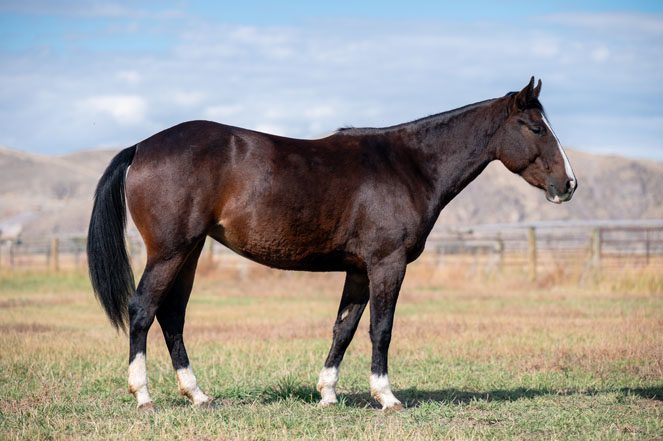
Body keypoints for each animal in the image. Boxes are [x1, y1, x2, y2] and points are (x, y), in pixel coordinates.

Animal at [87, 77, 576, 411]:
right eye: (535, 127)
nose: (568, 184)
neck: (409, 165)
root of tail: (141, 147)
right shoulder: (387, 264)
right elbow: (381, 328)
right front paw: (386, 397)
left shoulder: (359, 269)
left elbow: (344, 328)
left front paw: (327, 393)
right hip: (169, 252)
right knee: (142, 310)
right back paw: (143, 396)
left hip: (187, 253)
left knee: (171, 315)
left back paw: (198, 394)